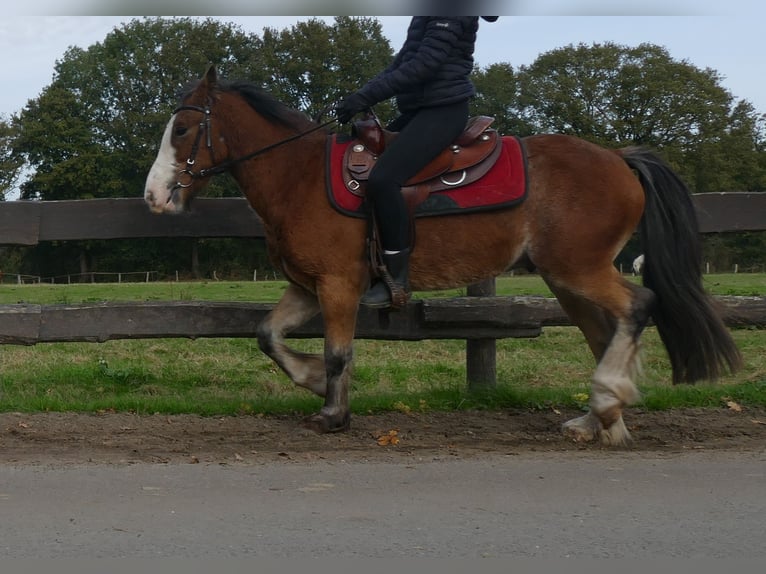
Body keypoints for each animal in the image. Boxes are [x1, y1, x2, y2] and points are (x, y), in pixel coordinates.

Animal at [146, 66, 744, 446]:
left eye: (183, 128)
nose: (154, 196)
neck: (301, 177)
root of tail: (619, 158)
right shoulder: (307, 286)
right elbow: (267, 335)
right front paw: (314, 381)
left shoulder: (338, 284)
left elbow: (339, 352)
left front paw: (333, 412)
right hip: (565, 277)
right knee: (605, 330)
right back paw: (603, 420)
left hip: (580, 268)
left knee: (638, 306)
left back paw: (604, 406)